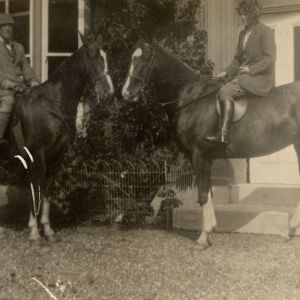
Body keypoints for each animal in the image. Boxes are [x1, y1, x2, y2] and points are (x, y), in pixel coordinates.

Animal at [121, 41, 300, 250]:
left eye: (145, 59)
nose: (126, 93)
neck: (190, 97)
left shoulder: (199, 156)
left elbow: (203, 193)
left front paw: (203, 237)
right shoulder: (206, 159)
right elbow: (209, 193)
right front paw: (210, 232)